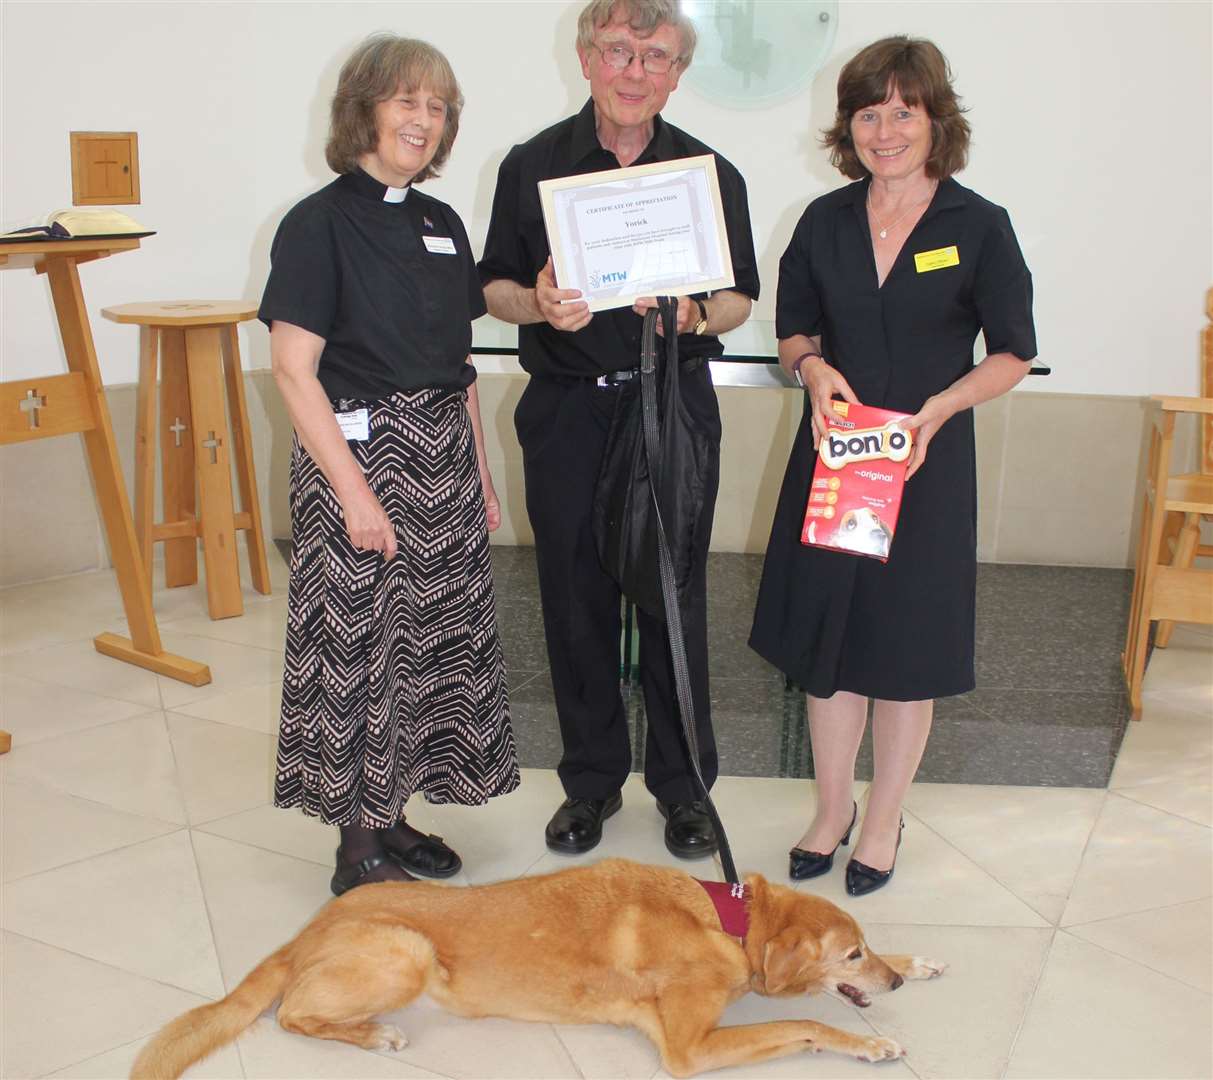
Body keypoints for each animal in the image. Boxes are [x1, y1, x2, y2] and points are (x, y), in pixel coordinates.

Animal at [132, 854, 946, 1072]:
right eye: (850, 955)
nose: (889, 979)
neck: (729, 919)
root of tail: (310, 927)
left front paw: (920, 960)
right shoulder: (688, 1049)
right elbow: (808, 1022)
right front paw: (872, 1042)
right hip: (407, 952)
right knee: (294, 1015)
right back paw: (372, 1034)